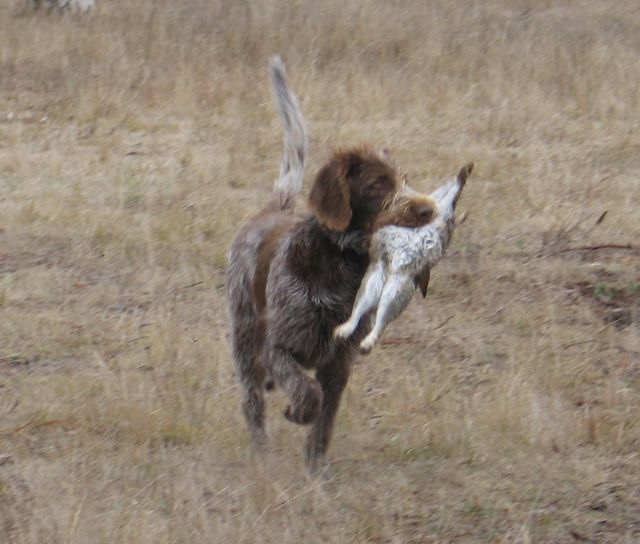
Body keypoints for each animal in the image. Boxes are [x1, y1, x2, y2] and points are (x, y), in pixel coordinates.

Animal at [225, 56, 436, 472]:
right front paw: (297, 413)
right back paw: (260, 447)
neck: (341, 264)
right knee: (252, 398)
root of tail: (274, 208)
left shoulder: (340, 361)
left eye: (404, 179)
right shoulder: (279, 346)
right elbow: (307, 395)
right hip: (245, 335)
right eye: (377, 184)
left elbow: (325, 417)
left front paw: (316, 469)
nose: (427, 209)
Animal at [332, 164, 472, 354]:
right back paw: (345, 332)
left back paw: (362, 341)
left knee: (378, 323)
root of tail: (390, 273)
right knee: (362, 315)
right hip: (376, 285)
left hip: (392, 291)